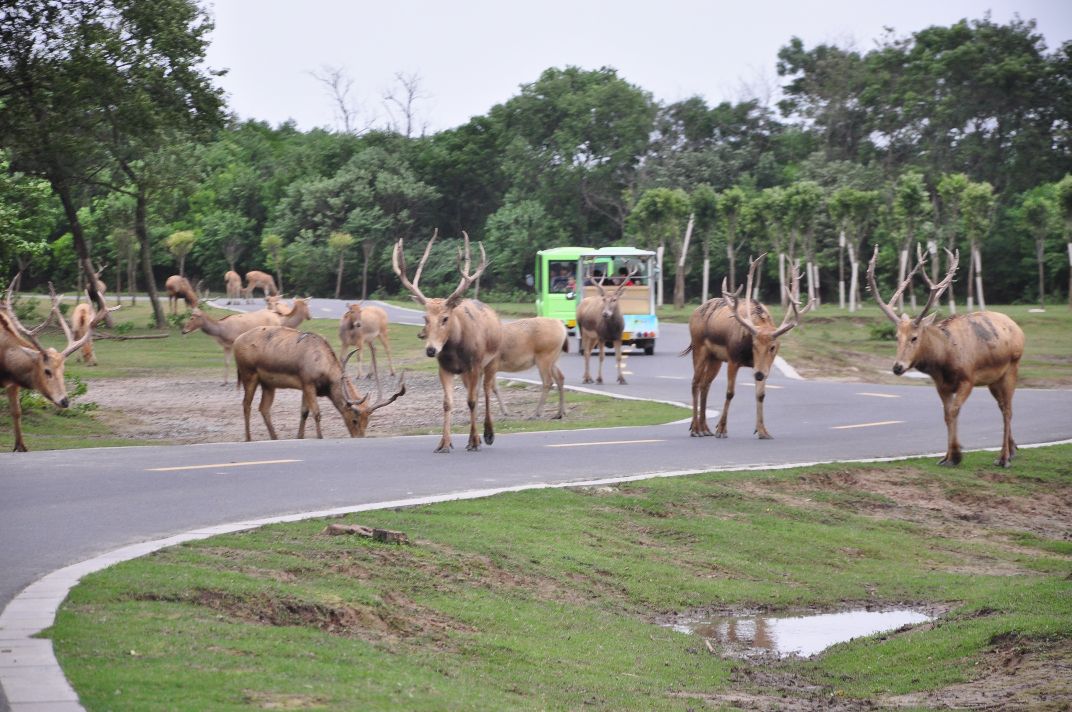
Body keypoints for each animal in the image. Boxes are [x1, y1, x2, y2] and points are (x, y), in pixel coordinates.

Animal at [1, 278, 99, 450]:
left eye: (63, 370)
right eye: (47, 371)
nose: (64, 401)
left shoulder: (12, 383)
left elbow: (16, 412)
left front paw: (21, 447)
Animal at [232, 325, 403, 439]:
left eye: (368, 420)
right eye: (354, 420)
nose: (359, 437)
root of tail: (236, 341)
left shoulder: (304, 385)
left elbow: (304, 412)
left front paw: (299, 437)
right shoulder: (308, 382)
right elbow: (317, 413)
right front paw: (319, 437)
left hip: (268, 384)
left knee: (264, 408)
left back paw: (274, 437)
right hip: (248, 373)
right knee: (246, 404)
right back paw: (248, 438)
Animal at [394, 229, 501, 450]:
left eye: (445, 318)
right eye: (425, 318)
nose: (431, 350)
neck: (456, 350)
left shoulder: (474, 364)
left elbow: (472, 401)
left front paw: (474, 441)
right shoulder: (445, 367)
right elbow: (447, 403)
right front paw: (444, 443)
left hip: (492, 360)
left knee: (485, 391)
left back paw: (487, 435)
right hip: (467, 372)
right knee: (475, 392)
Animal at [681, 253, 806, 437]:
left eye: (772, 347)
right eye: (753, 344)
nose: (759, 375)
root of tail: (694, 312)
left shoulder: (763, 366)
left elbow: (761, 395)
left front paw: (763, 431)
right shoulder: (733, 359)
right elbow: (730, 393)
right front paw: (722, 429)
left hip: (715, 358)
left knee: (705, 384)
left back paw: (705, 428)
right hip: (699, 347)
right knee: (695, 383)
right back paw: (696, 429)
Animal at [866, 244, 1024, 467]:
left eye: (914, 337)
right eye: (896, 337)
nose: (897, 367)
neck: (944, 360)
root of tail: (1017, 328)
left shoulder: (968, 378)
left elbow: (955, 410)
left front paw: (956, 454)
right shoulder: (941, 385)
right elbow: (946, 415)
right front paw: (947, 457)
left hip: (1012, 367)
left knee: (1008, 409)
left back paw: (1003, 458)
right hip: (994, 379)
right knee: (1002, 407)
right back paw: (1012, 450)